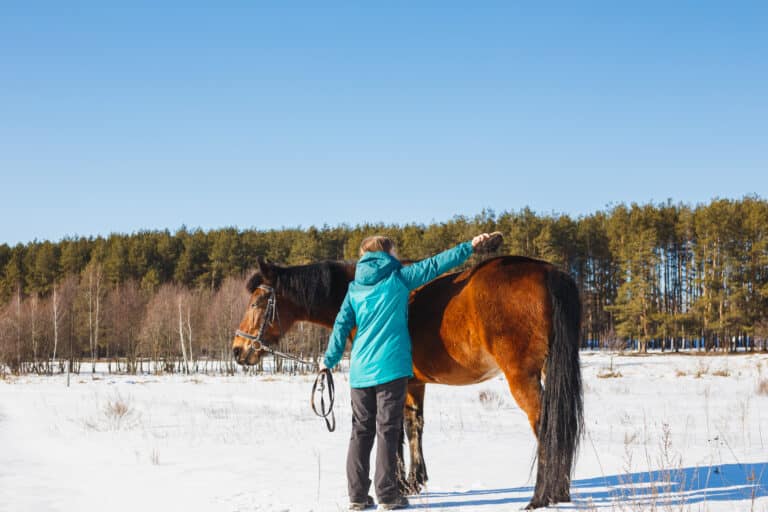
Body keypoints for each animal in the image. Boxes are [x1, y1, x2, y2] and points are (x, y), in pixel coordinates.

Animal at [231, 253, 583, 509]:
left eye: (258, 302)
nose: (238, 350)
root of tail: (547, 271)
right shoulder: (414, 383)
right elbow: (415, 427)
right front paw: (415, 481)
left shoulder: (396, 382)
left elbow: (396, 430)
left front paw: (398, 485)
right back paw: (560, 492)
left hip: (521, 376)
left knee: (545, 425)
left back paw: (540, 497)